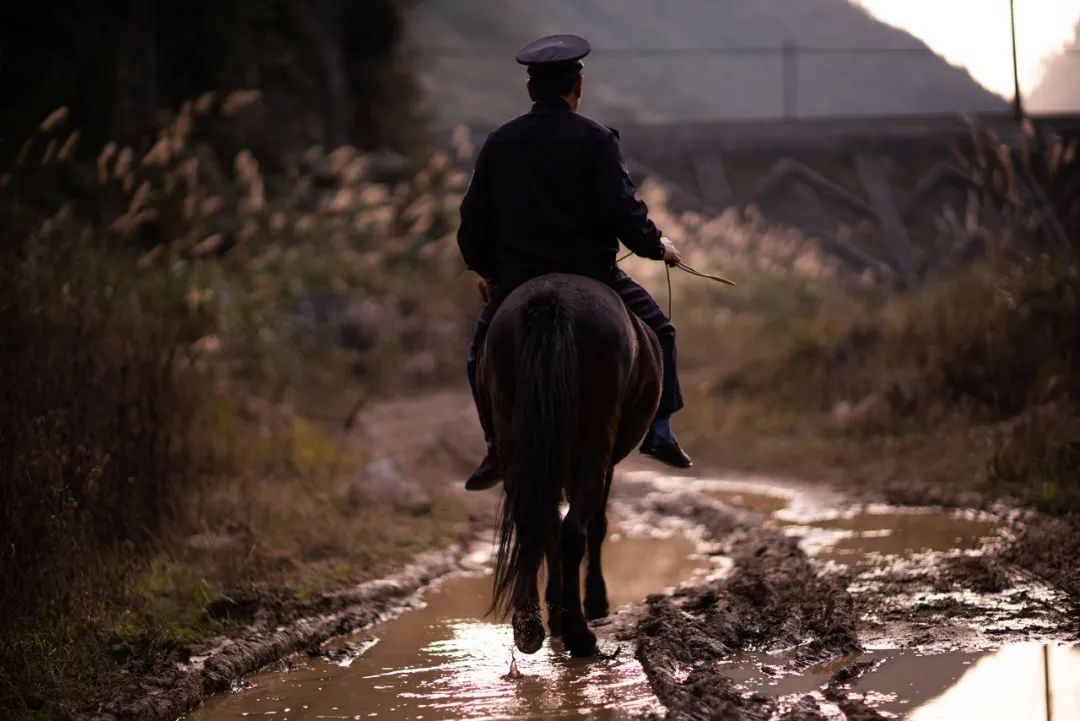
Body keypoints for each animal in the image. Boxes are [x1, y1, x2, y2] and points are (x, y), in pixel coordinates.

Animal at [479, 273, 660, 656]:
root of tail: (551, 299)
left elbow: (548, 525)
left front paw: (555, 610)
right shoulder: (602, 460)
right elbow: (595, 524)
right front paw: (593, 602)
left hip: (516, 439)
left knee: (535, 522)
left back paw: (531, 627)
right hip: (595, 444)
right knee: (574, 529)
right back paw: (579, 633)